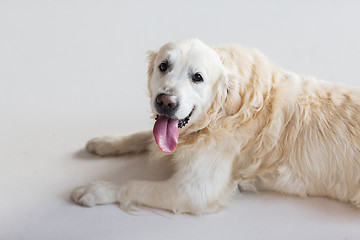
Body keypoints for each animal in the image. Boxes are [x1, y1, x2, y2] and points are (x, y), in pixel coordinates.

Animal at [71, 39, 360, 214]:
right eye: (163, 66)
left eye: (197, 77)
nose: (165, 101)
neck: (224, 113)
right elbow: (142, 136)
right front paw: (106, 142)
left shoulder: (193, 192)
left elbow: (134, 184)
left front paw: (96, 189)